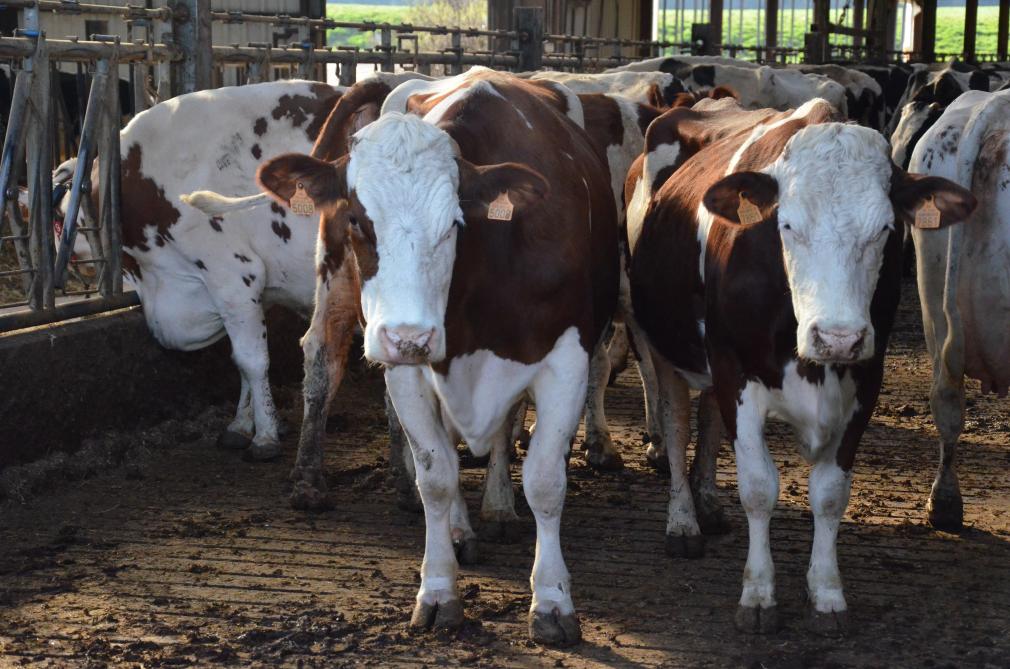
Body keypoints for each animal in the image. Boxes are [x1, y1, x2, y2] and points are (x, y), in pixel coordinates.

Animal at [251, 66, 614, 646]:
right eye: (357, 220)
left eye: (454, 224)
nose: (408, 336)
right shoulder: (410, 372)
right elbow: (436, 475)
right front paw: (439, 590)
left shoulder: (566, 357)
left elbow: (544, 480)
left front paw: (552, 600)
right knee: (324, 356)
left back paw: (496, 507)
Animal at [626, 95, 973, 634]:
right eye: (786, 225)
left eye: (886, 229)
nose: (837, 337)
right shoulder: (735, 371)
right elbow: (758, 488)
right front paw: (758, 594)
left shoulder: (865, 381)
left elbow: (829, 492)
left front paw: (827, 594)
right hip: (659, 344)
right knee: (677, 424)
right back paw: (683, 521)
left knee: (706, 421)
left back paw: (708, 503)